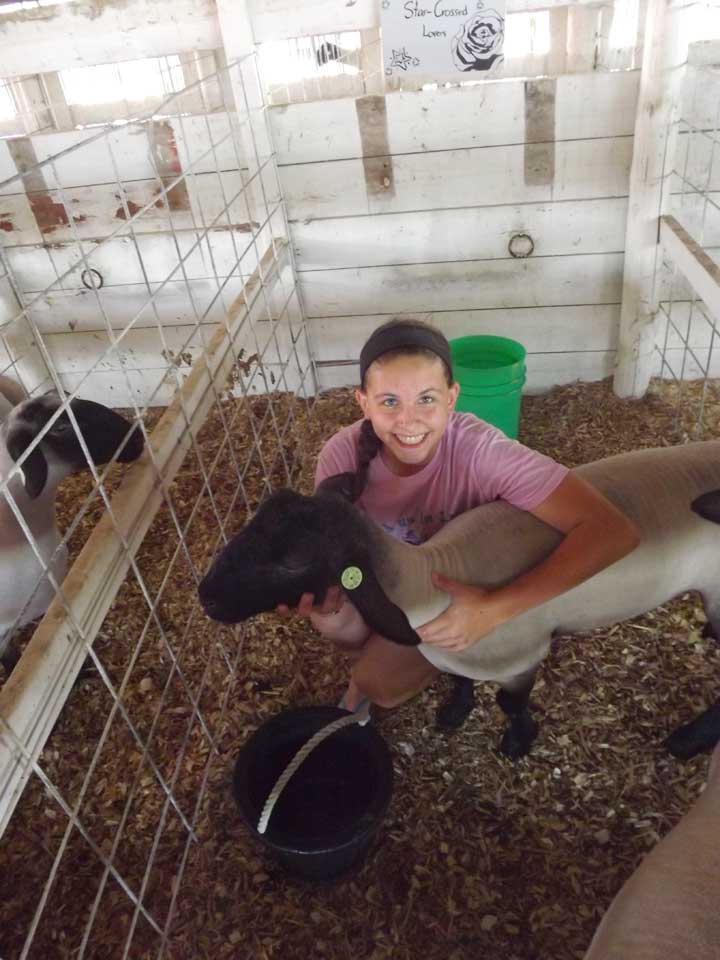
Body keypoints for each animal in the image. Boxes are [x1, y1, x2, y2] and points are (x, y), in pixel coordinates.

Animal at [197, 438, 720, 760]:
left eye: (292, 560)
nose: (206, 598)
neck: (428, 581)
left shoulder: (521, 657)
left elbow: (510, 704)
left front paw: (517, 742)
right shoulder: (452, 652)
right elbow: (457, 679)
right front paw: (454, 711)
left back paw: (688, 741)